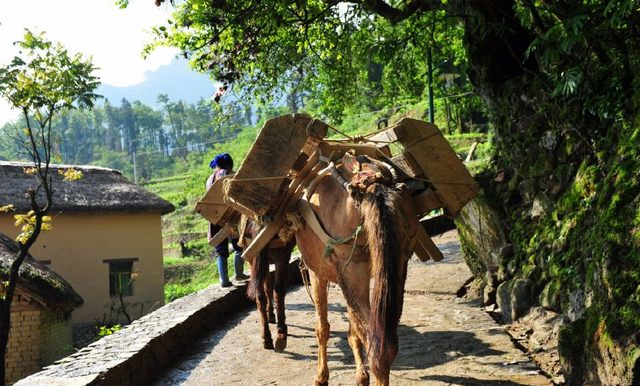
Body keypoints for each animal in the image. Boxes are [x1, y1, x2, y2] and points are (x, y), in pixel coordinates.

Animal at [294, 155, 418, 386]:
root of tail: (371, 184)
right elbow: (354, 327)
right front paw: (361, 376)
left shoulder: (319, 274)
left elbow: (322, 327)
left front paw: (321, 377)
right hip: (399, 258)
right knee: (385, 342)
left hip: (352, 268)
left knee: (376, 347)